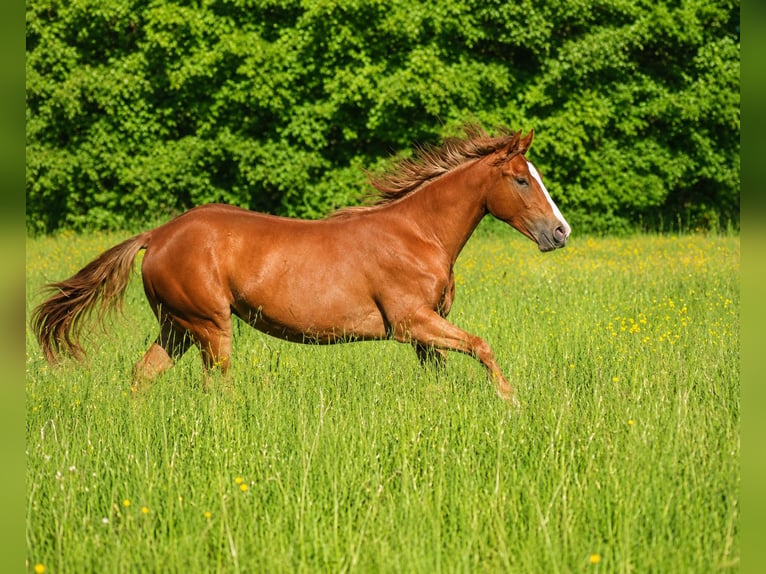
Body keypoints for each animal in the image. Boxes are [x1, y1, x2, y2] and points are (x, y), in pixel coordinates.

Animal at [31, 125, 570, 402]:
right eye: (522, 180)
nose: (560, 233)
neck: (418, 234)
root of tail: (157, 236)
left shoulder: (425, 329)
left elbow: (439, 373)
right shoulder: (412, 322)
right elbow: (482, 346)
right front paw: (510, 402)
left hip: (177, 327)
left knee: (142, 375)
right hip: (210, 325)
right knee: (217, 387)